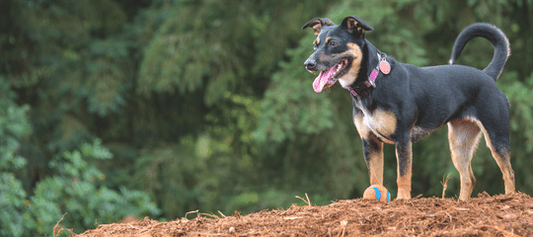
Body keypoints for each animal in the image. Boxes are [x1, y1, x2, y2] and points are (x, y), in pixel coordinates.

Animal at [304, 14, 516, 200]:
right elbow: (375, 178)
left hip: (496, 136)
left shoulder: (402, 138)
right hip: (459, 143)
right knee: (468, 179)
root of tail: (487, 76)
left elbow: (403, 175)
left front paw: (403, 199)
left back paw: (510, 199)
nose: (308, 64)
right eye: (315, 44)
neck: (372, 82)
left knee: (509, 174)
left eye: (333, 43)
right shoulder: (370, 142)